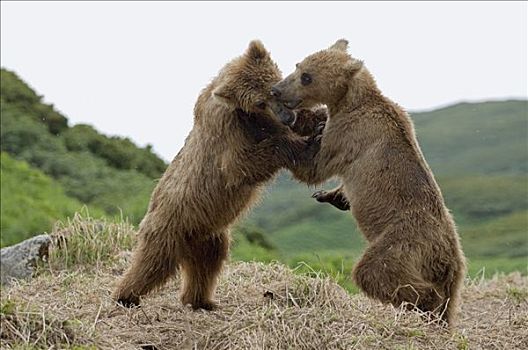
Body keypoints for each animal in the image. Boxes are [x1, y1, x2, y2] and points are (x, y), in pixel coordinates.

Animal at [114, 39, 322, 310]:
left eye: (274, 89)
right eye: (260, 101)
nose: (288, 116)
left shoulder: (258, 120)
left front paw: (318, 118)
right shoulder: (230, 129)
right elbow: (243, 164)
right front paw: (303, 143)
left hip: (210, 234)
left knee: (208, 265)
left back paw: (201, 300)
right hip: (168, 228)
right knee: (152, 263)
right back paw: (125, 296)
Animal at [272, 39, 466, 326]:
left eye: (307, 76)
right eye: (298, 65)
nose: (276, 90)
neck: (348, 100)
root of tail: (447, 256)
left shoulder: (348, 134)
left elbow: (315, 167)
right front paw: (329, 195)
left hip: (403, 242)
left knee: (376, 272)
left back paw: (423, 305)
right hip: (453, 272)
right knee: (448, 303)